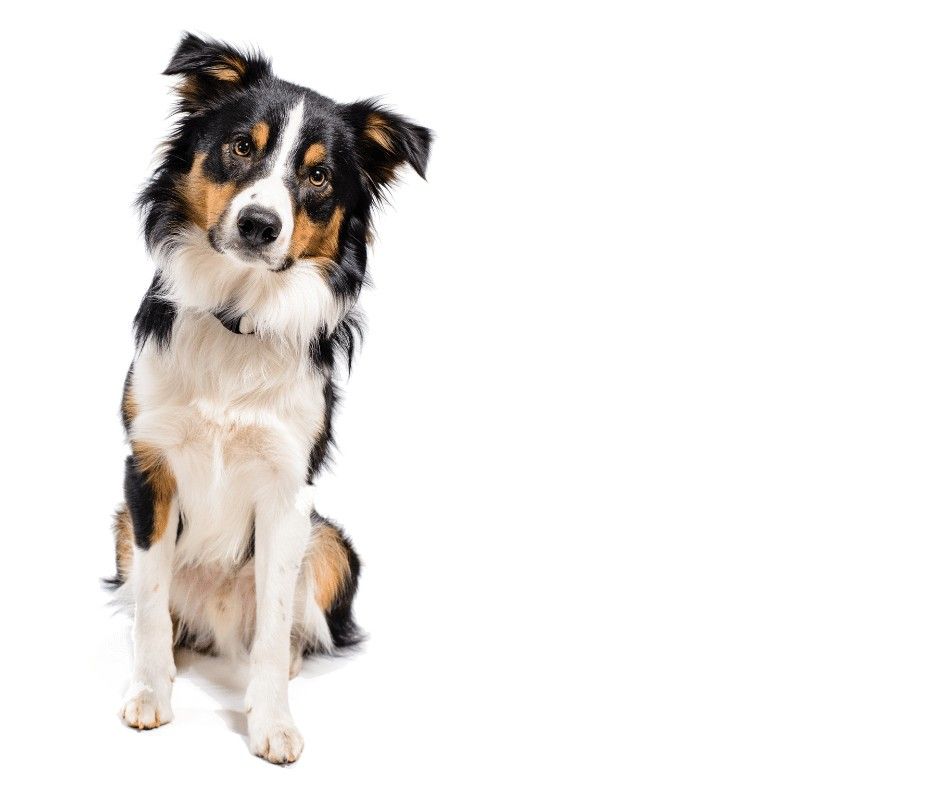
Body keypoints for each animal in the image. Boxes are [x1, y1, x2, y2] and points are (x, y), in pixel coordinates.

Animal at [107, 32, 431, 764]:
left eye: (318, 177)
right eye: (240, 146)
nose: (259, 224)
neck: (239, 314)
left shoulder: (288, 490)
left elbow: (277, 619)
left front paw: (272, 721)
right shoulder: (148, 466)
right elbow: (150, 606)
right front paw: (149, 692)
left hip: (330, 540)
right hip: (120, 522)